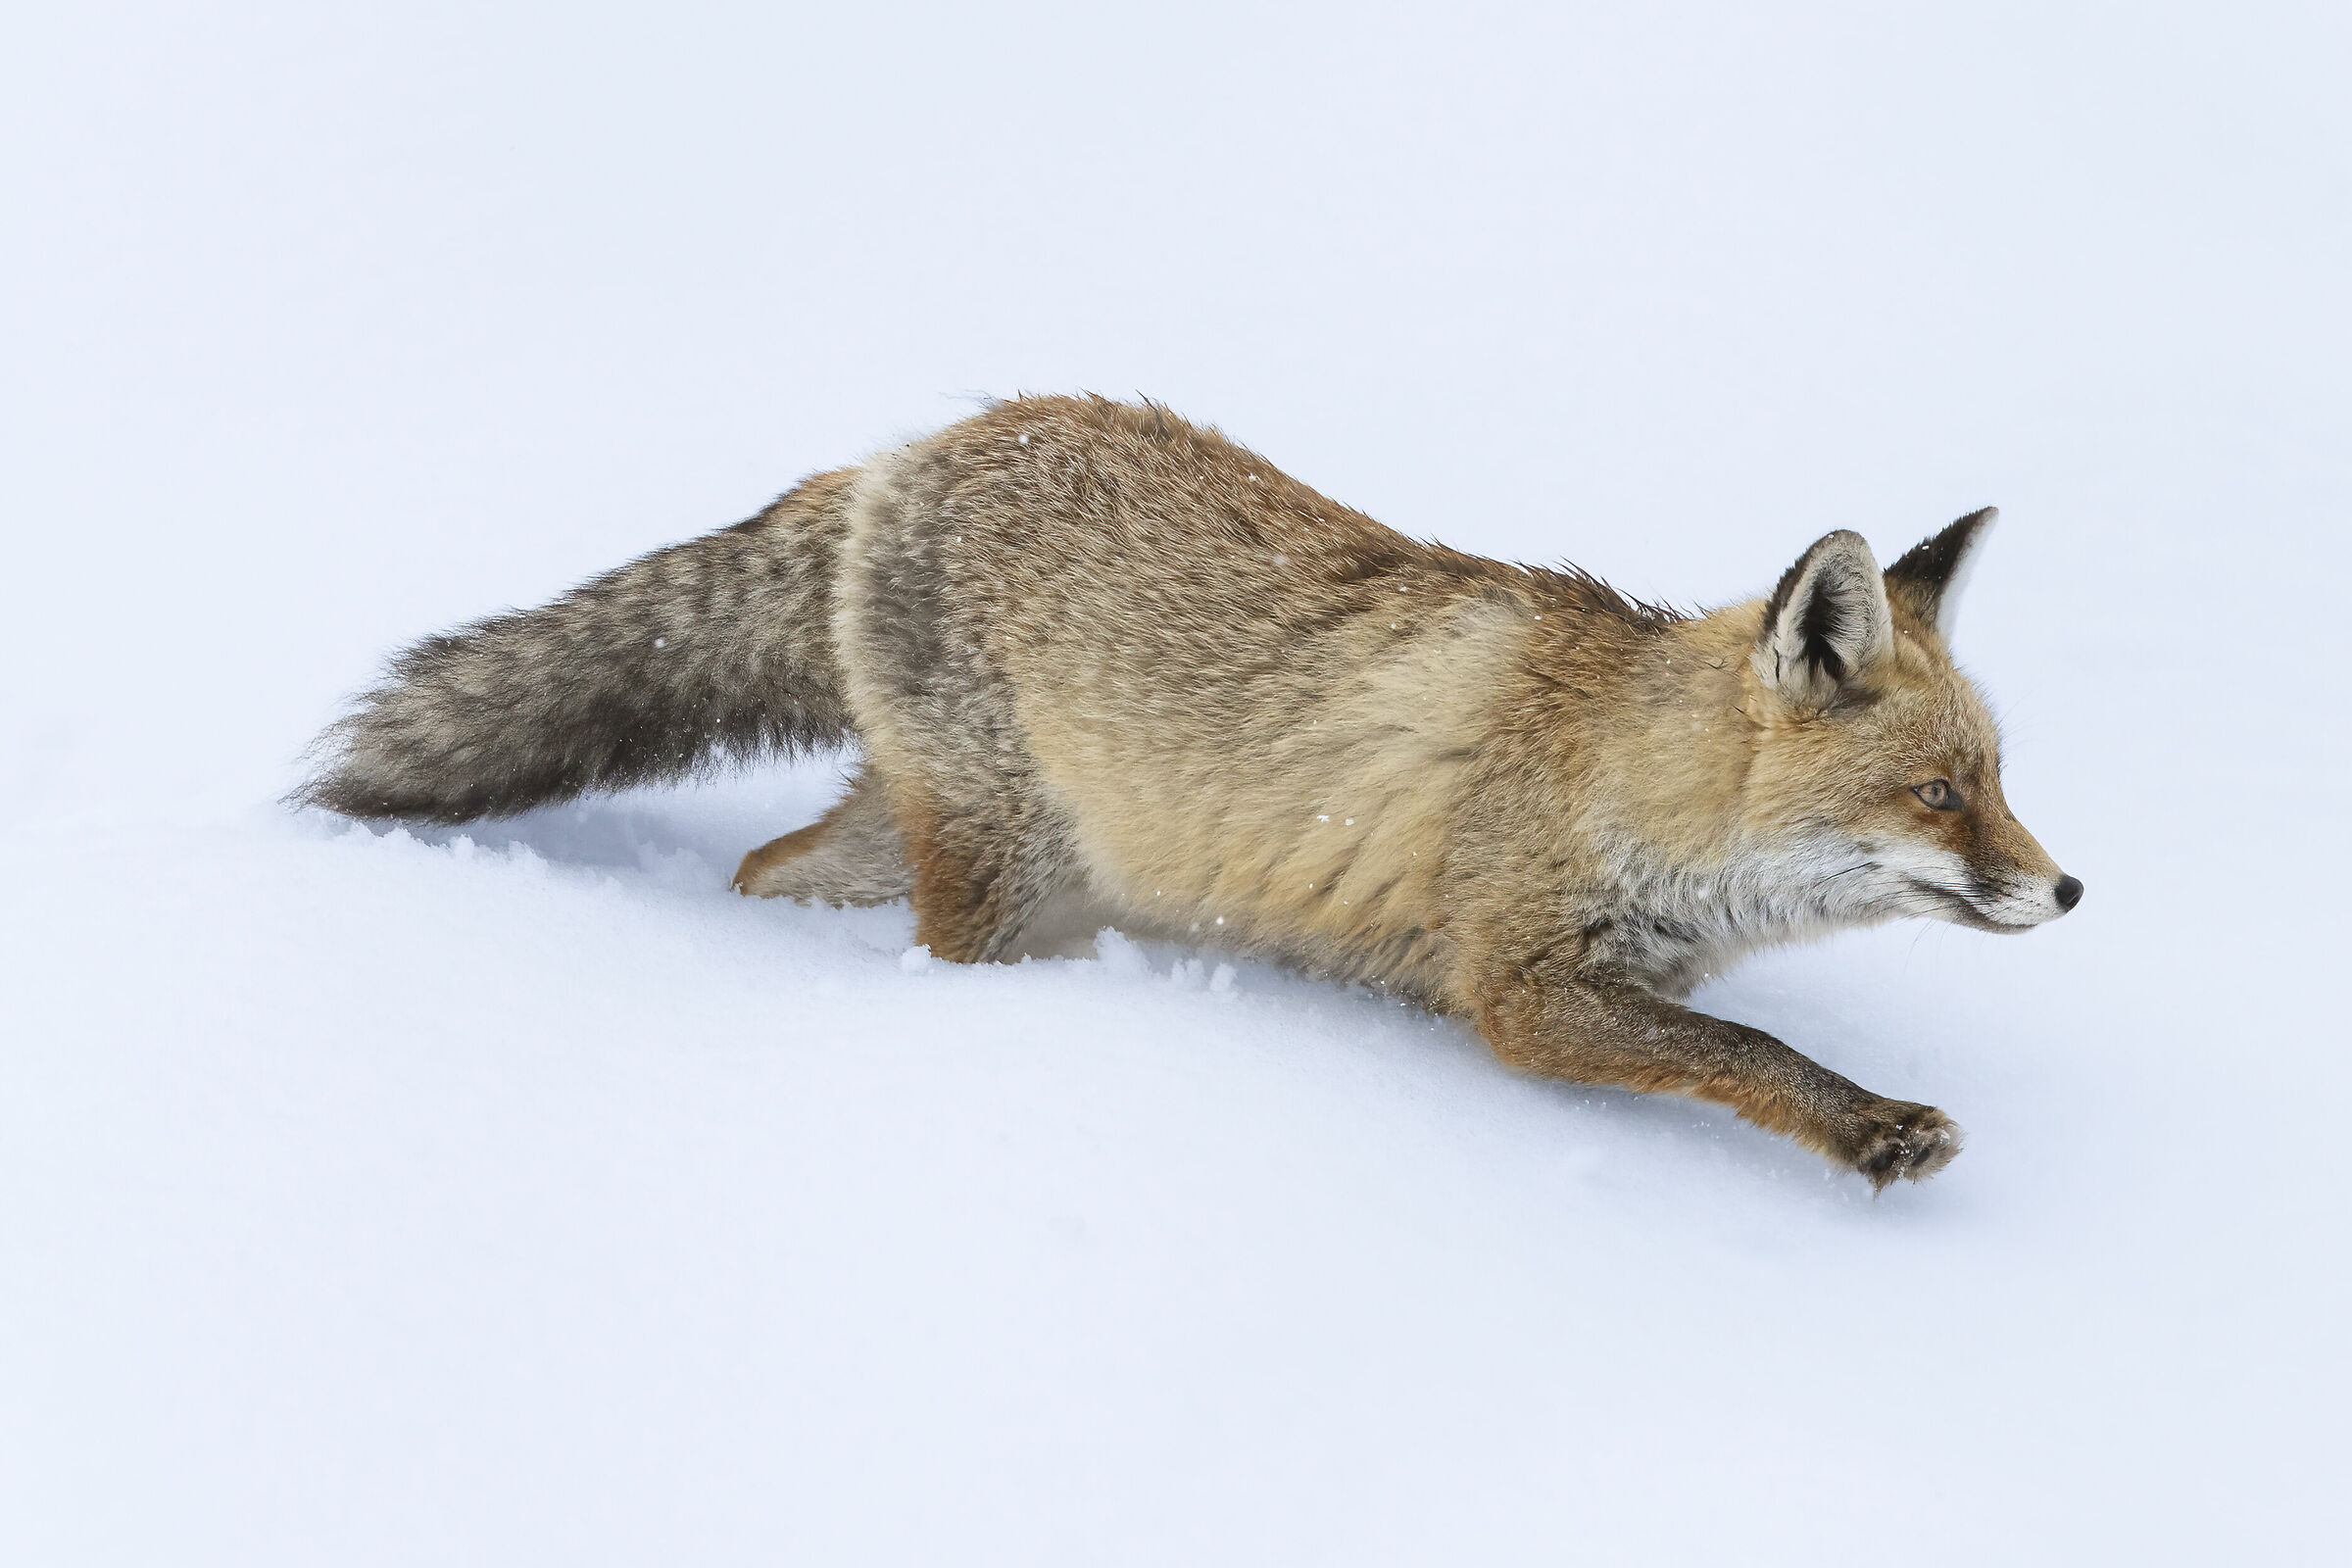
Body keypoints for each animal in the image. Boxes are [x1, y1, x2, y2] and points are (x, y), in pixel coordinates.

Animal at [299, 394, 2081, 1188]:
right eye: (1939, 795)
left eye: (1999, 784)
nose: (2069, 891)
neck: (1621, 779)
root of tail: (906, 452)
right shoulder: (1520, 988)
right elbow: (1754, 1055)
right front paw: (1869, 1127)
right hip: (1004, 874)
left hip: (949, 845)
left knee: (763, 866)